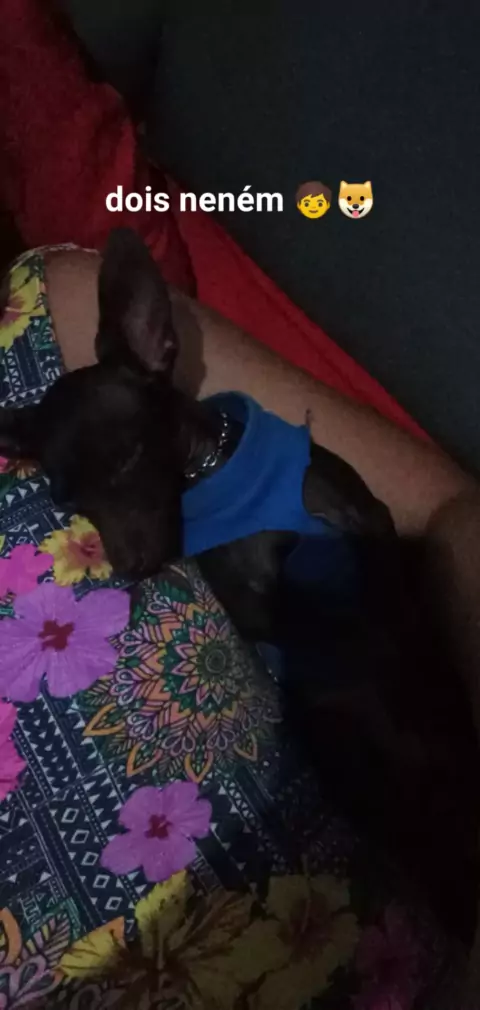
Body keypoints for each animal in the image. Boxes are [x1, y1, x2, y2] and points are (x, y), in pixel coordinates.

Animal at [0, 229, 477, 935]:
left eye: (131, 457)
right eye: (68, 501)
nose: (132, 567)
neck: (213, 473)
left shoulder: (367, 525)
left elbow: (378, 596)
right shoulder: (259, 608)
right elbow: (303, 617)